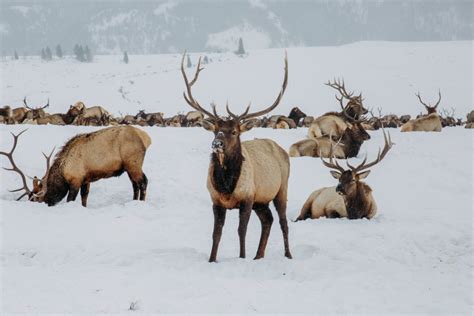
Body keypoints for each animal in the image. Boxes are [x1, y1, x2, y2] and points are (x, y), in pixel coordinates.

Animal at [0, 126, 151, 207]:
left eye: (36, 200)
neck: (63, 171)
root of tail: (146, 138)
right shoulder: (86, 179)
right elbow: (85, 197)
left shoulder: (75, 180)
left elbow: (70, 200)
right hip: (128, 167)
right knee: (135, 184)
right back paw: (134, 201)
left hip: (133, 163)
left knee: (143, 182)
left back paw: (141, 203)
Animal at [181, 50, 292, 262]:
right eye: (215, 130)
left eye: (234, 131)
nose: (217, 143)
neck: (226, 185)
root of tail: (282, 150)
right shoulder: (216, 201)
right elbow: (216, 233)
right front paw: (212, 259)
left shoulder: (247, 198)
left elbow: (242, 231)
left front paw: (242, 257)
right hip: (261, 201)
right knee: (268, 220)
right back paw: (258, 256)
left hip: (281, 188)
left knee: (283, 222)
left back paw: (288, 255)